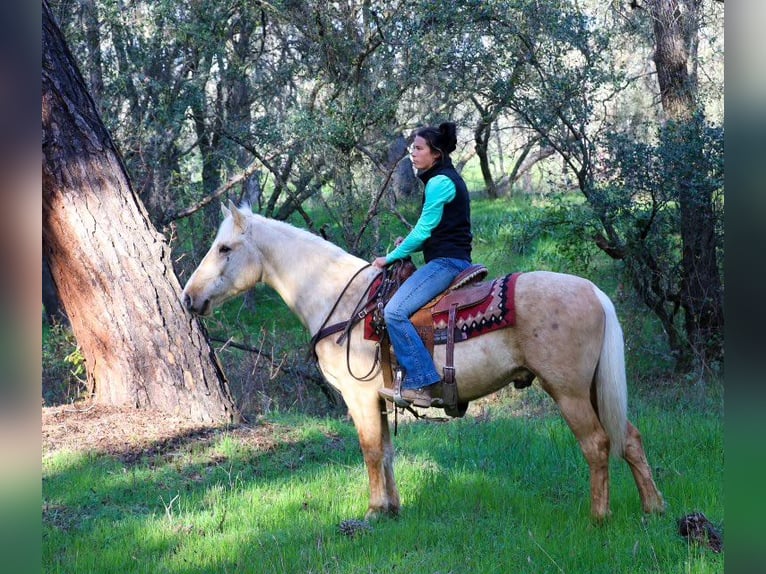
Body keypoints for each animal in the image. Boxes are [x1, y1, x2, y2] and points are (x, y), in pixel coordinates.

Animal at [182, 201, 664, 520]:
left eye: (225, 248)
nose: (189, 298)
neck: (342, 301)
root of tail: (594, 291)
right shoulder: (378, 398)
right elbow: (387, 451)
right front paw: (392, 509)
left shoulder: (358, 396)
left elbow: (370, 450)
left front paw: (374, 511)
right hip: (593, 388)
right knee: (630, 438)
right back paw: (654, 509)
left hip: (568, 391)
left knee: (598, 444)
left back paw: (598, 517)